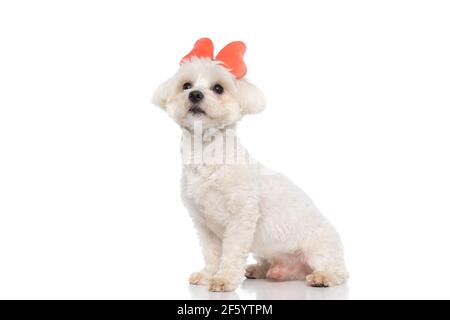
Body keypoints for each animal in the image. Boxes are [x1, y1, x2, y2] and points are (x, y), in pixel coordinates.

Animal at [152, 38, 348, 292]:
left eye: (218, 88)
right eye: (186, 85)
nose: (195, 94)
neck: (207, 155)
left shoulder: (241, 217)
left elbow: (232, 251)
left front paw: (224, 279)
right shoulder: (203, 223)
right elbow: (212, 253)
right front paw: (208, 274)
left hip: (320, 249)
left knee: (338, 271)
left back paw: (323, 277)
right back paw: (260, 270)